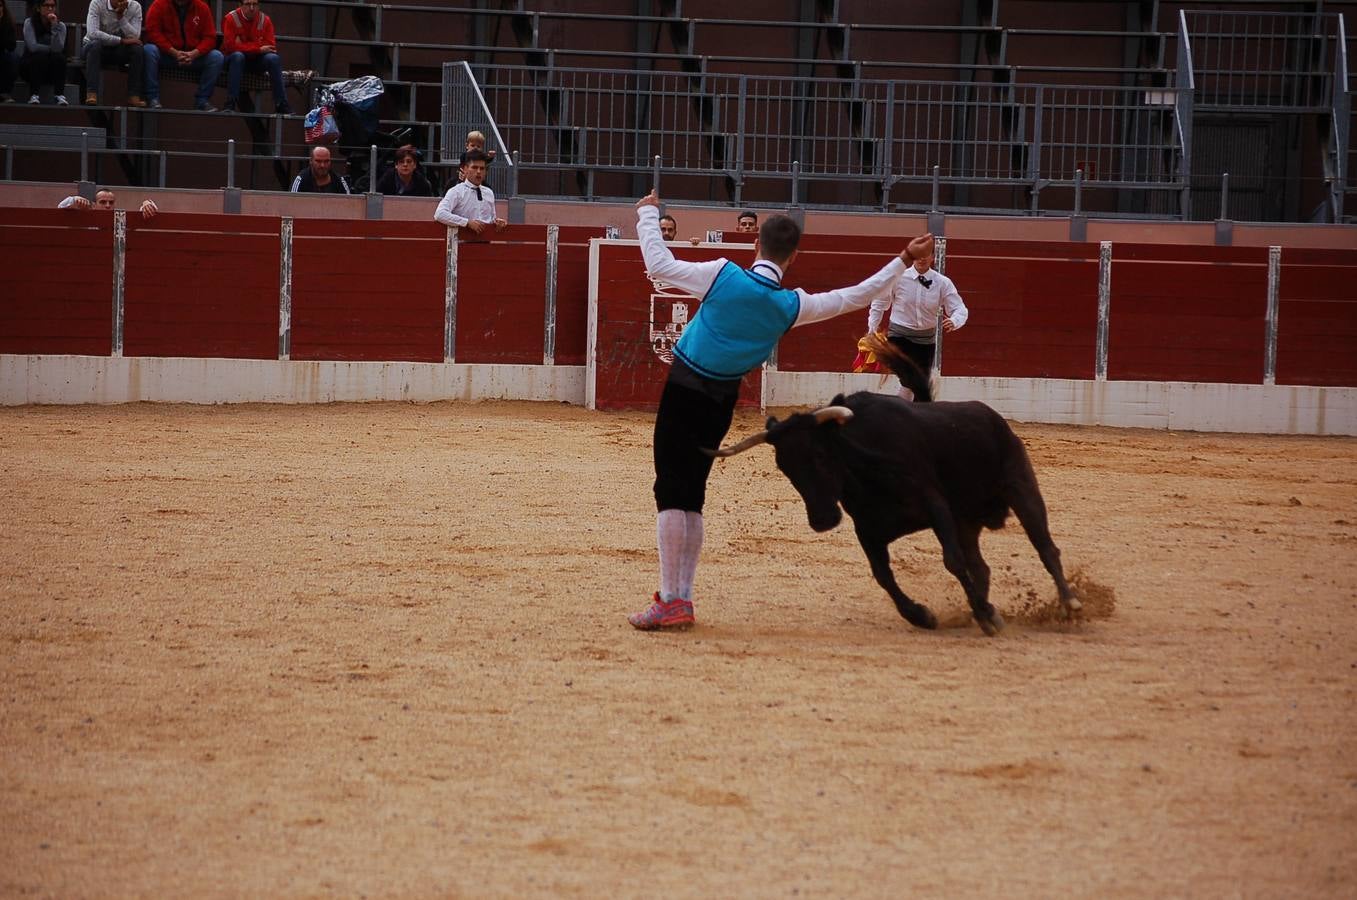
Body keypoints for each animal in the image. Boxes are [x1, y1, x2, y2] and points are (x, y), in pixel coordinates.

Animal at [711, 393, 1080, 632]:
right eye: (783, 466)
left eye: (819, 453)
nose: (823, 520)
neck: (864, 469)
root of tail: (993, 417)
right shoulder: (868, 530)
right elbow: (884, 576)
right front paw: (922, 615)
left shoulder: (936, 507)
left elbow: (951, 561)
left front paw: (984, 613)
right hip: (966, 523)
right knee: (981, 566)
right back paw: (981, 610)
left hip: (1022, 488)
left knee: (1046, 548)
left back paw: (1069, 605)